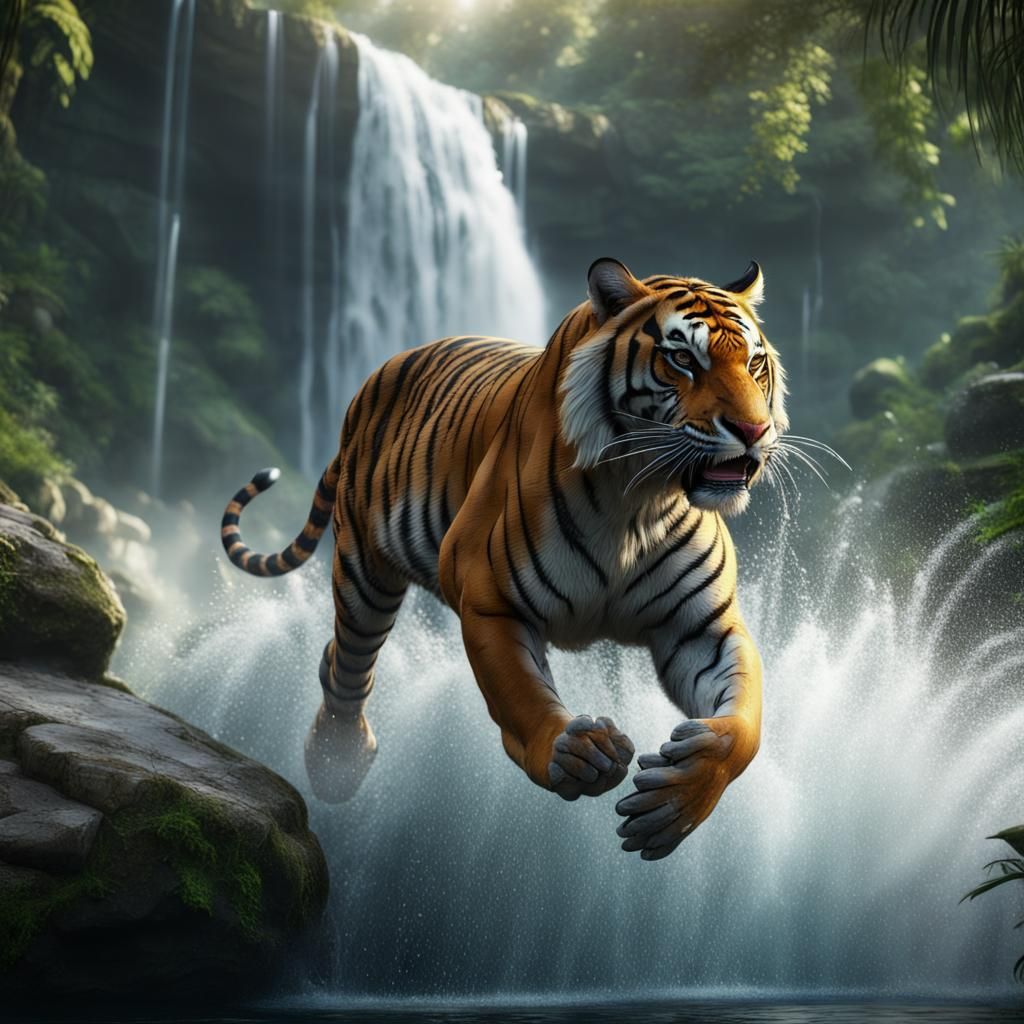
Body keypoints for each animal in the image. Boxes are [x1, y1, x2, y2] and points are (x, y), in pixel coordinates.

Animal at [221, 257, 787, 861]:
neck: (640, 499)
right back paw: (335, 761)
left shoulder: (703, 626)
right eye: (682, 359)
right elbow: (519, 693)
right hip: (362, 572)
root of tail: (377, 375)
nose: (753, 430)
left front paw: (678, 799)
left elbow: (745, 723)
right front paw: (573, 753)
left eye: (754, 363)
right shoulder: (489, 600)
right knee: (346, 661)